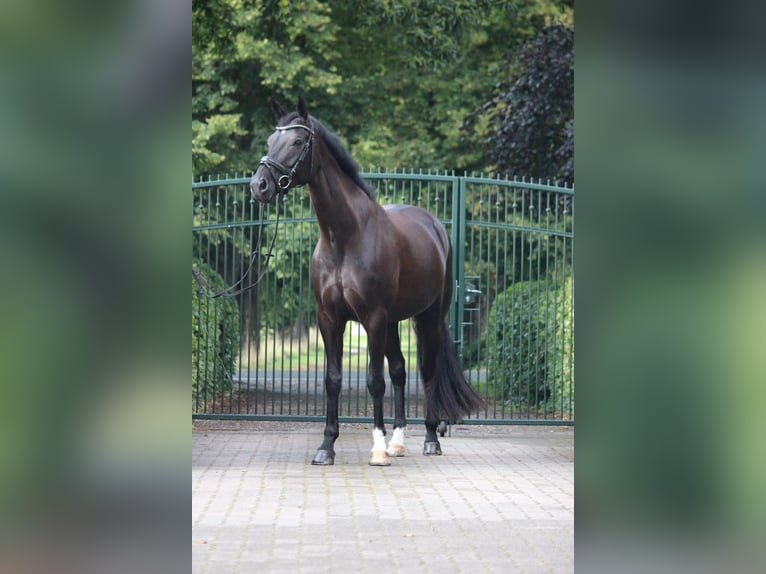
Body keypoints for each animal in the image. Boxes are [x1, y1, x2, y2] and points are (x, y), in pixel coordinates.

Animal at [250, 97, 484, 466]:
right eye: (270, 141)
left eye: (298, 141)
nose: (259, 186)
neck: (345, 237)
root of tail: (435, 226)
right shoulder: (330, 319)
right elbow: (333, 379)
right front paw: (326, 447)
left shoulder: (372, 317)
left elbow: (375, 381)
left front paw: (377, 449)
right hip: (393, 322)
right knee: (400, 370)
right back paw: (398, 442)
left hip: (428, 317)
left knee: (427, 370)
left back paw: (430, 439)